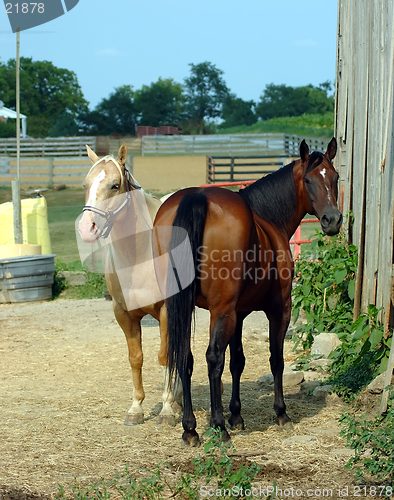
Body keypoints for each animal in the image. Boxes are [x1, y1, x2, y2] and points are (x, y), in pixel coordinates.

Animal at [77, 143, 178, 428]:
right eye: (85, 184)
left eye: (114, 185)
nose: (86, 228)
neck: (139, 255)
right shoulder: (123, 313)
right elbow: (136, 358)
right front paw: (136, 408)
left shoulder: (166, 310)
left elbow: (164, 356)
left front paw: (166, 410)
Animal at [154, 138, 342, 446]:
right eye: (308, 180)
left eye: (335, 178)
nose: (332, 220)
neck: (266, 220)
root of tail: (198, 198)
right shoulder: (279, 310)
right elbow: (276, 360)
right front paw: (280, 413)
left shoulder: (239, 314)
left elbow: (238, 362)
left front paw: (237, 415)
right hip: (221, 311)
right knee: (213, 359)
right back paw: (218, 427)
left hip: (179, 308)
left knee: (185, 357)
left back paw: (191, 429)